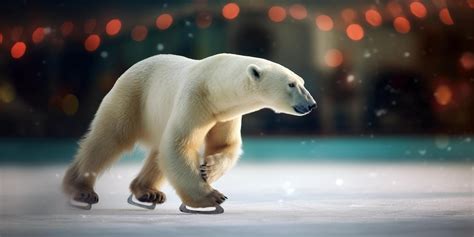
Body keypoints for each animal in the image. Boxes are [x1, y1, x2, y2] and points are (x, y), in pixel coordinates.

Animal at [62, 53, 314, 207]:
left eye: (303, 82)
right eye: (291, 84)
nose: (311, 104)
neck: (215, 85)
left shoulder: (226, 115)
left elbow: (224, 144)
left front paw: (208, 169)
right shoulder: (194, 98)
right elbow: (179, 144)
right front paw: (212, 196)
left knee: (157, 153)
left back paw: (148, 190)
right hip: (132, 98)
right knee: (109, 139)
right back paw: (81, 188)